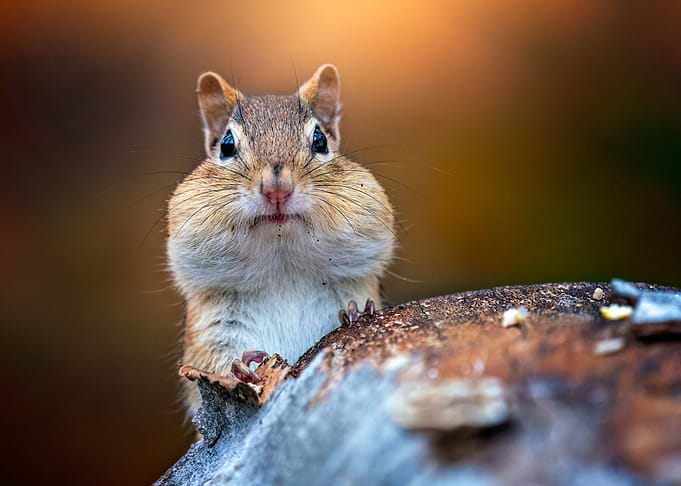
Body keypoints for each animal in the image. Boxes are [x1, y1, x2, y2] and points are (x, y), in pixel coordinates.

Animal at [166, 64, 395, 415]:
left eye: (320, 140)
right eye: (227, 145)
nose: (277, 189)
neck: (283, 272)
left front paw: (358, 312)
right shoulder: (209, 333)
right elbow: (211, 367)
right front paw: (240, 366)